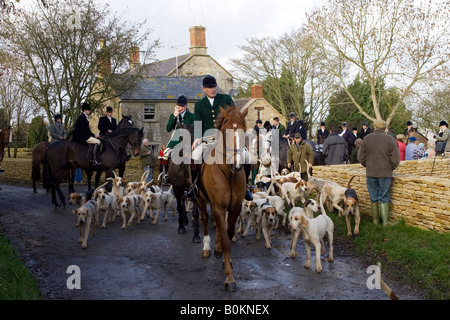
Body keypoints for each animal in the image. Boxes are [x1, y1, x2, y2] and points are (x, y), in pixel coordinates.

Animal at [196, 105, 248, 292]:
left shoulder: (235, 207)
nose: (237, 165)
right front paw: (230, 279)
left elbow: (229, 232)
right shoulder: (217, 206)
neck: (229, 173)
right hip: (201, 200)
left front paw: (227, 260)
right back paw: (207, 247)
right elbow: (226, 240)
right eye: (226, 130)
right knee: (205, 219)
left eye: (244, 130)